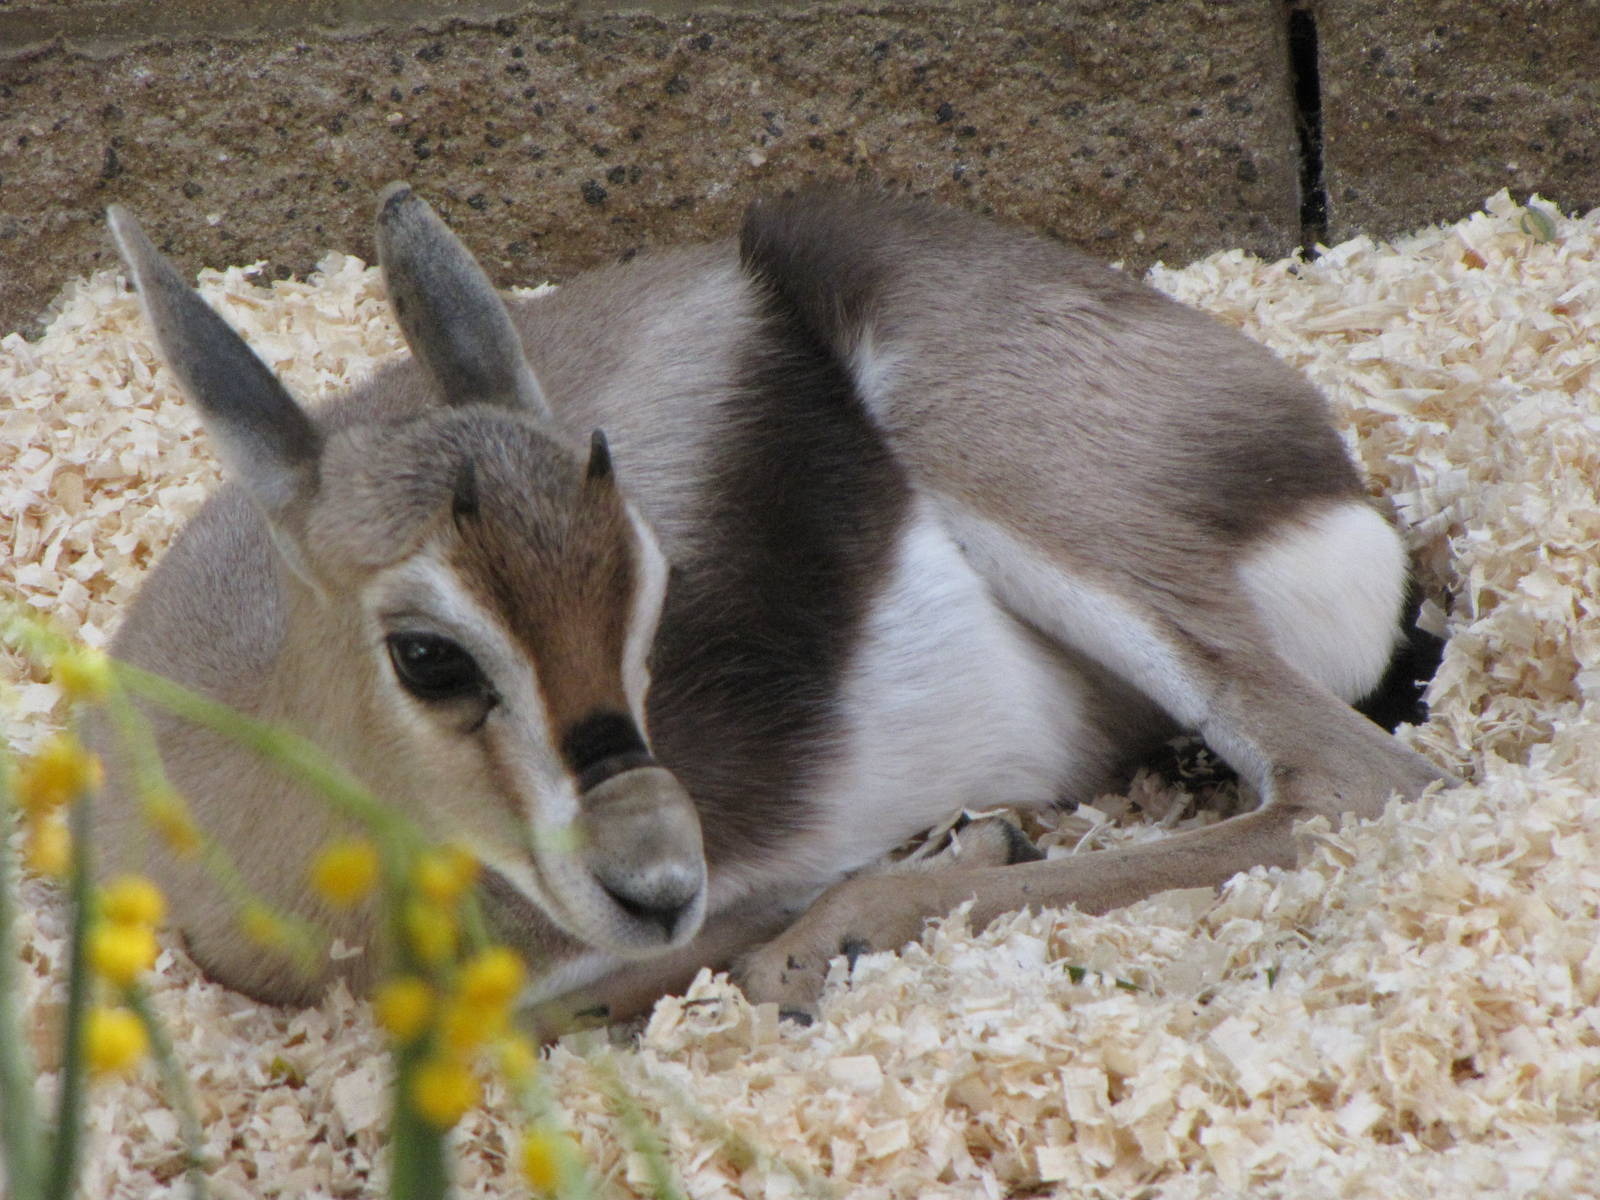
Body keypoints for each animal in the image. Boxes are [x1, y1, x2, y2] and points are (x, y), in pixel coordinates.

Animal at [96, 184, 1447, 1024]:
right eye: (426, 652)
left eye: (650, 583)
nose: (657, 876)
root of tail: (1329, 478)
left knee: (1353, 777)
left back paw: (853, 917)